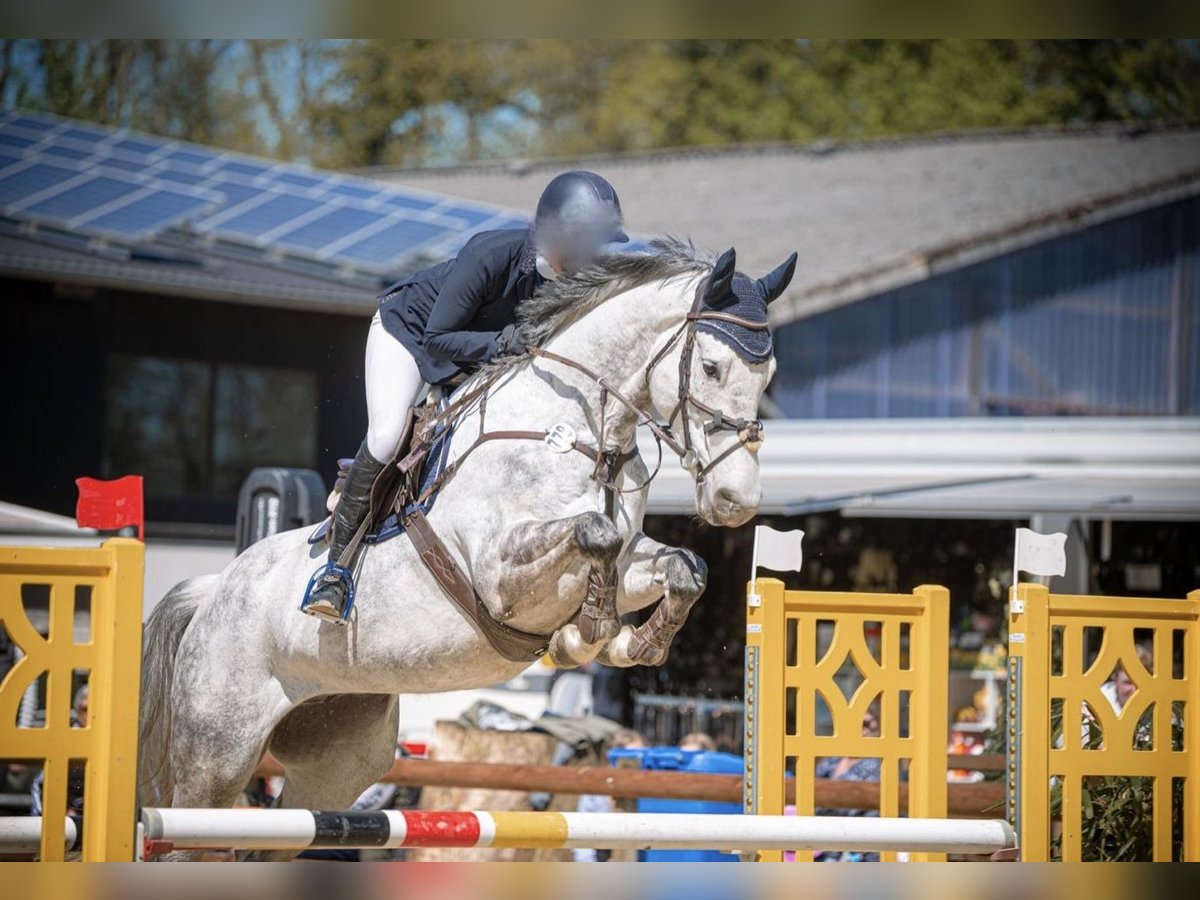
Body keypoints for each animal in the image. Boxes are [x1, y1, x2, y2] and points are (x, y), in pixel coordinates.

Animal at [138, 237, 796, 859]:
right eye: (710, 367)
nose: (736, 500)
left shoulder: (630, 558)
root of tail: (214, 590)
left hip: (339, 754)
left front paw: (634, 642)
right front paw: (588, 633)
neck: (582, 430)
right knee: (188, 833)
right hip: (218, 750)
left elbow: (686, 566)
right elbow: (594, 533)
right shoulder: (500, 574)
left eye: (769, 379)